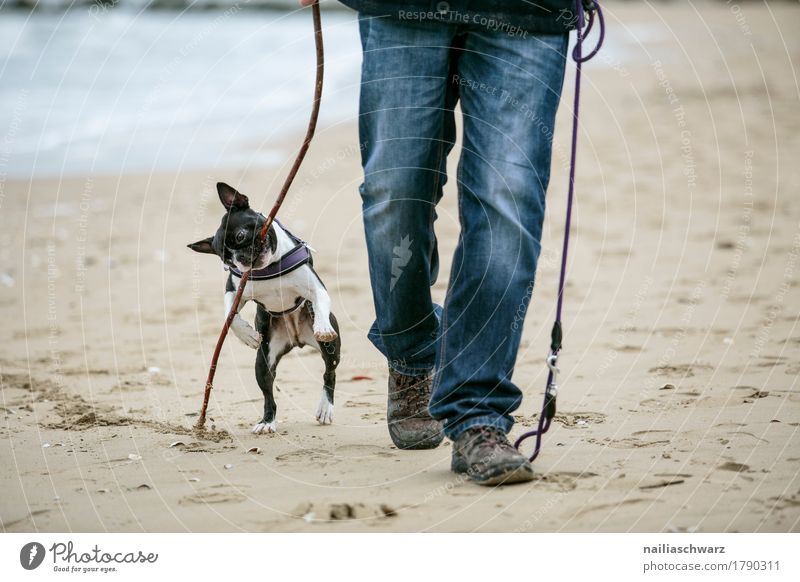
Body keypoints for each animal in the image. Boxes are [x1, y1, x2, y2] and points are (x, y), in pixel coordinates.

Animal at [190, 185, 340, 436]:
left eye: (240, 236)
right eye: (226, 260)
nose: (240, 258)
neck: (269, 268)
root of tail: (296, 339)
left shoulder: (316, 288)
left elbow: (319, 302)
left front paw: (322, 326)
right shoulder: (234, 289)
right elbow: (229, 314)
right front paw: (247, 335)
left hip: (331, 351)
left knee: (329, 373)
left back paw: (325, 408)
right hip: (263, 361)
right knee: (268, 393)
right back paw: (267, 421)